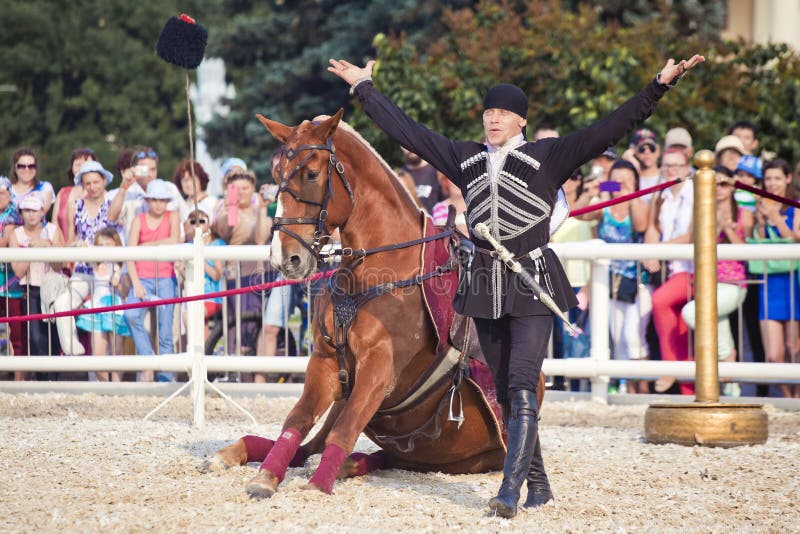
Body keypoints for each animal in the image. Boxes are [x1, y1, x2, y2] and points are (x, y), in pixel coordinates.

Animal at [203, 111, 548, 500]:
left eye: (312, 173)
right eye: (278, 175)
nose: (285, 258)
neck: (376, 272)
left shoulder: (379, 370)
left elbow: (344, 430)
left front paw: (317, 485)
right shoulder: (325, 364)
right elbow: (297, 421)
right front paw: (265, 476)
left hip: (461, 458)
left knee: (369, 454)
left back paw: (343, 466)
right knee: (316, 448)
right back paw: (237, 452)